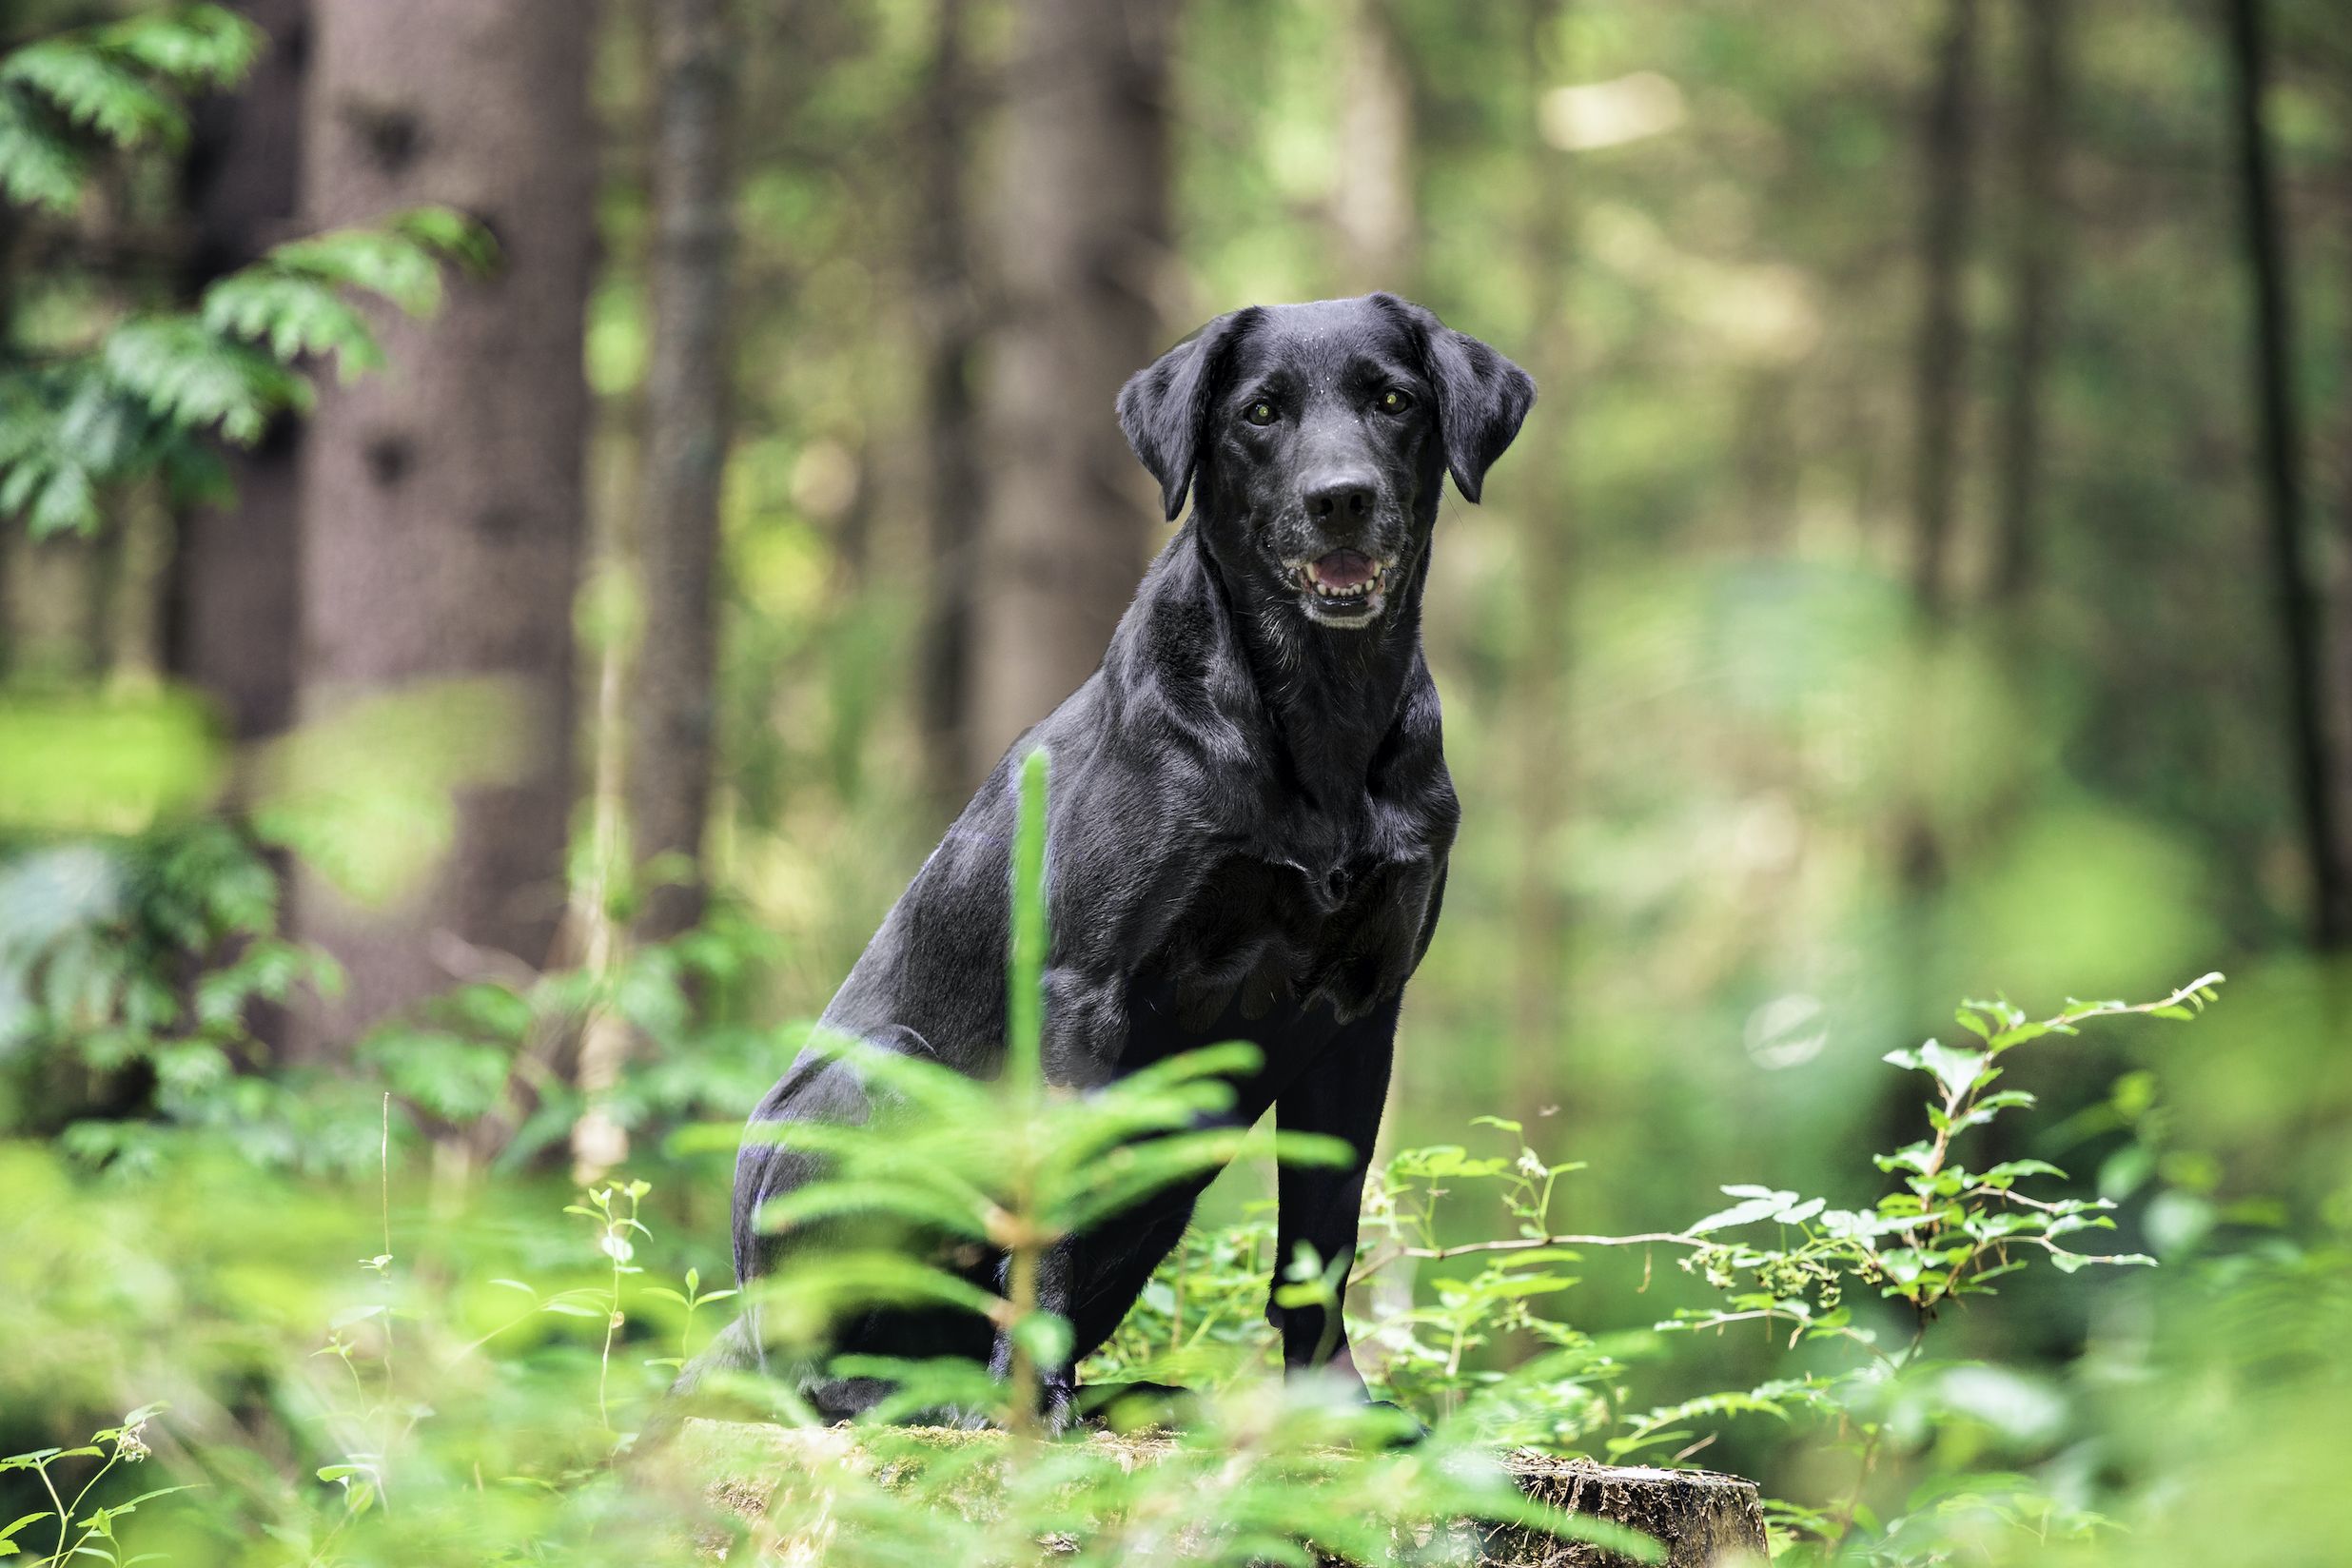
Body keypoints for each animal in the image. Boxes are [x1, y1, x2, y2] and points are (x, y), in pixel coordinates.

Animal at [734, 297, 1533, 1439]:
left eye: (1394, 399)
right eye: (1259, 412)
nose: (1341, 499)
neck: (1317, 719)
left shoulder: (1360, 1012)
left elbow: (1320, 1241)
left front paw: (1335, 1407)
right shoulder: (1087, 992)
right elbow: (1052, 1222)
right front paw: (1035, 1407)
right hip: (886, 1085)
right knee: (813, 1369)